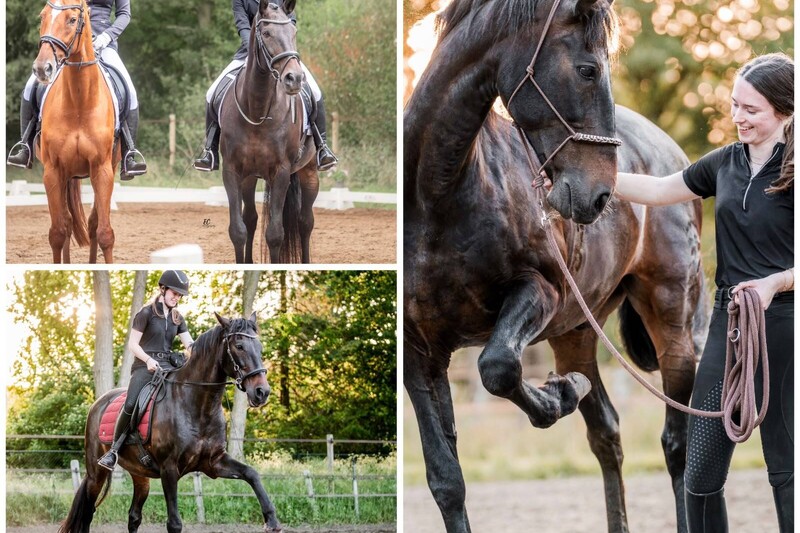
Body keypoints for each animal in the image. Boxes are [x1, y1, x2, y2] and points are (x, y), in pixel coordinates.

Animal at [32, 0, 120, 263]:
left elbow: (104, 232)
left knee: (91, 224)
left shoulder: (102, 170)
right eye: (42, 16)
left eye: (72, 20)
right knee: (68, 224)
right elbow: (57, 233)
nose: (42, 69)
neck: (80, 102)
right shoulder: (52, 171)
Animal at [59, 312, 283, 533]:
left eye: (260, 347)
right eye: (239, 346)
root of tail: (98, 403)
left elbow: (251, 474)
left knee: (133, 517)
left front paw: (271, 520)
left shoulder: (214, 462)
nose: (262, 392)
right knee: (88, 514)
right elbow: (174, 524)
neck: (197, 406)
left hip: (140, 475)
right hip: (96, 473)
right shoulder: (169, 469)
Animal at [404, 0, 706, 532]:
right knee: (607, 435)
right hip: (576, 333)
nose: (601, 195)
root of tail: (674, 157)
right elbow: (446, 481)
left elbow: (498, 367)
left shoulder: (540, 291)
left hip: (672, 325)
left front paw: (556, 397)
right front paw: (563, 391)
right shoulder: (419, 352)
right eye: (588, 70)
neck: (435, 199)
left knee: (676, 447)